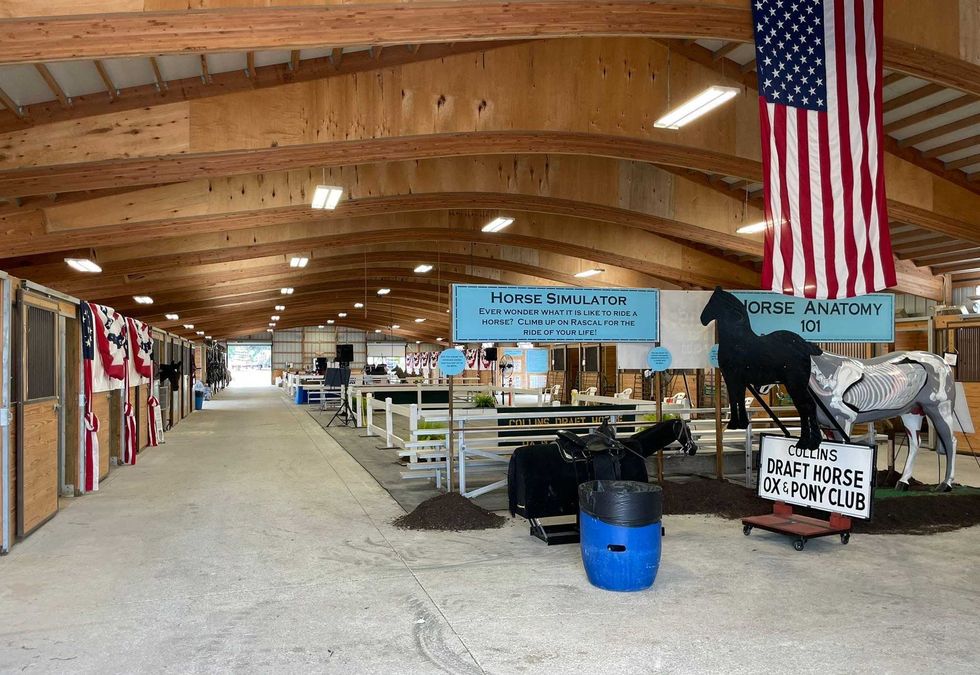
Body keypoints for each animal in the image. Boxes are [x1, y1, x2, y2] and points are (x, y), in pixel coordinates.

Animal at [700, 287, 824, 449]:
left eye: (713, 302)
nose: (702, 319)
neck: (737, 340)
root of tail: (804, 345)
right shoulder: (739, 381)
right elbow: (739, 399)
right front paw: (741, 423)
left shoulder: (731, 378)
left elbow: (734, 399)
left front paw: (734, 423)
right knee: (808, 407)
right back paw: (811, 441)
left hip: (795, 385)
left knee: (806, 407)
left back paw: (805, 442)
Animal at [810, 351, 957, 491]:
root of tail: (943, 362)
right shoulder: (827, 427)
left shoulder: (843, 420)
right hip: (912, 413)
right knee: (915, 442)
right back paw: (902, 482)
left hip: (940, 409)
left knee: (950, 441)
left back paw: (945, 484)